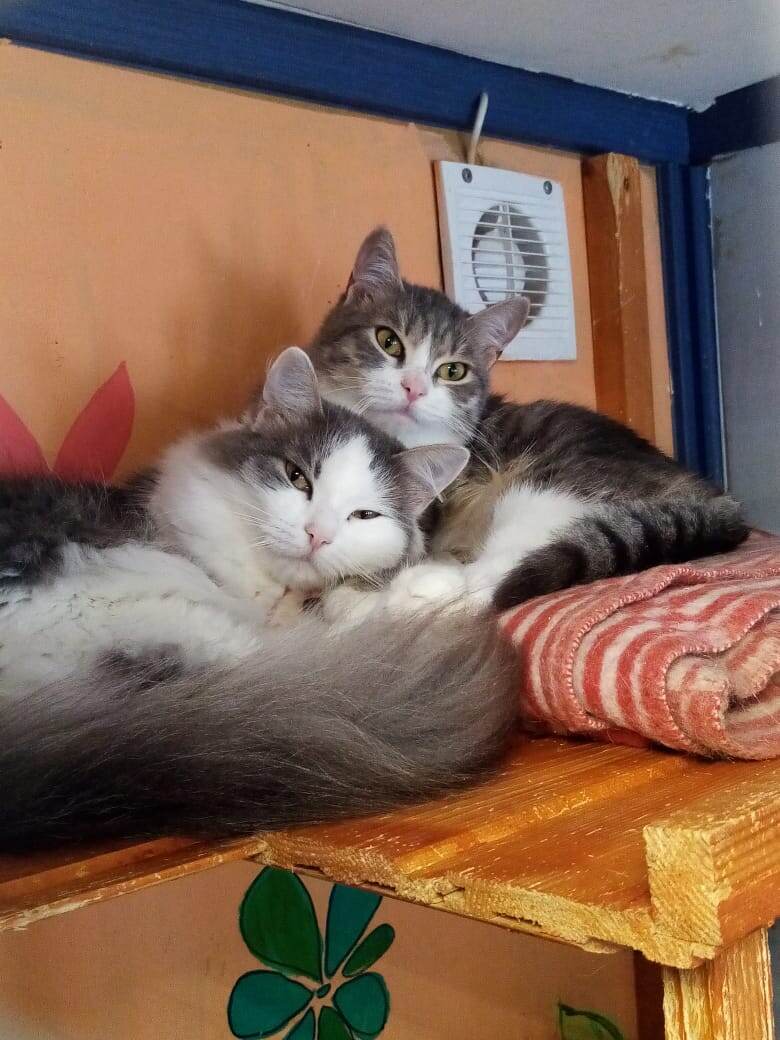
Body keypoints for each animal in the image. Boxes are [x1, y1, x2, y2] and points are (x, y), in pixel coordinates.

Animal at [309, 227, 748, 618]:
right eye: (388, 340)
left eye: (452, 371)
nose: (413, 387)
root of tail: (715, 497)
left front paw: (357, 593)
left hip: (547, 488)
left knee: (505, 568)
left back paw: (421, 589)